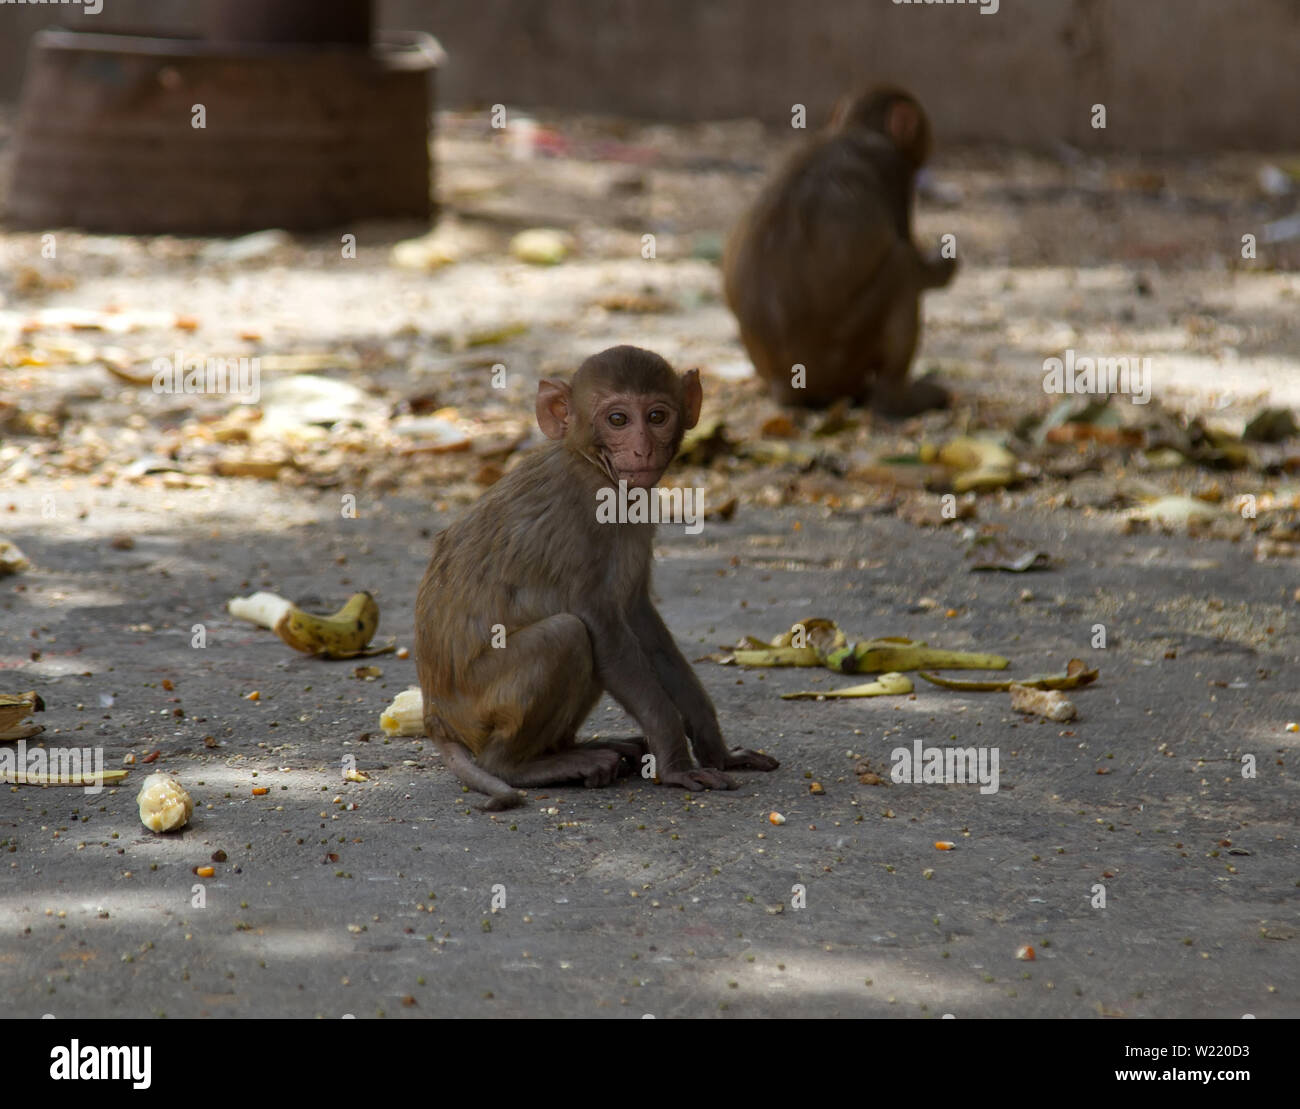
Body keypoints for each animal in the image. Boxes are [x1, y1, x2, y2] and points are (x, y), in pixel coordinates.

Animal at [416, 340, 780, 811]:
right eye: (618, 420)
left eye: (657, 416)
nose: (642, 449)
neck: (594, 465)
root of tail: (435, 716)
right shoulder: (580, 520)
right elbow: (601, 624)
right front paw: (676, 765)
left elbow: (640, 618)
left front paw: (716, 749)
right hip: (478, 708)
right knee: (567, 635)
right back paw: (524, 765)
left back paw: (581, 749)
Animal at [728, 86, 961, 413]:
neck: (856, 129)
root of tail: (784, 387)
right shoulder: (896, 172)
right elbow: (915, 262)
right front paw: (942, 265)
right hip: (844, 357)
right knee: (902, 269)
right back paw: (896, 399)